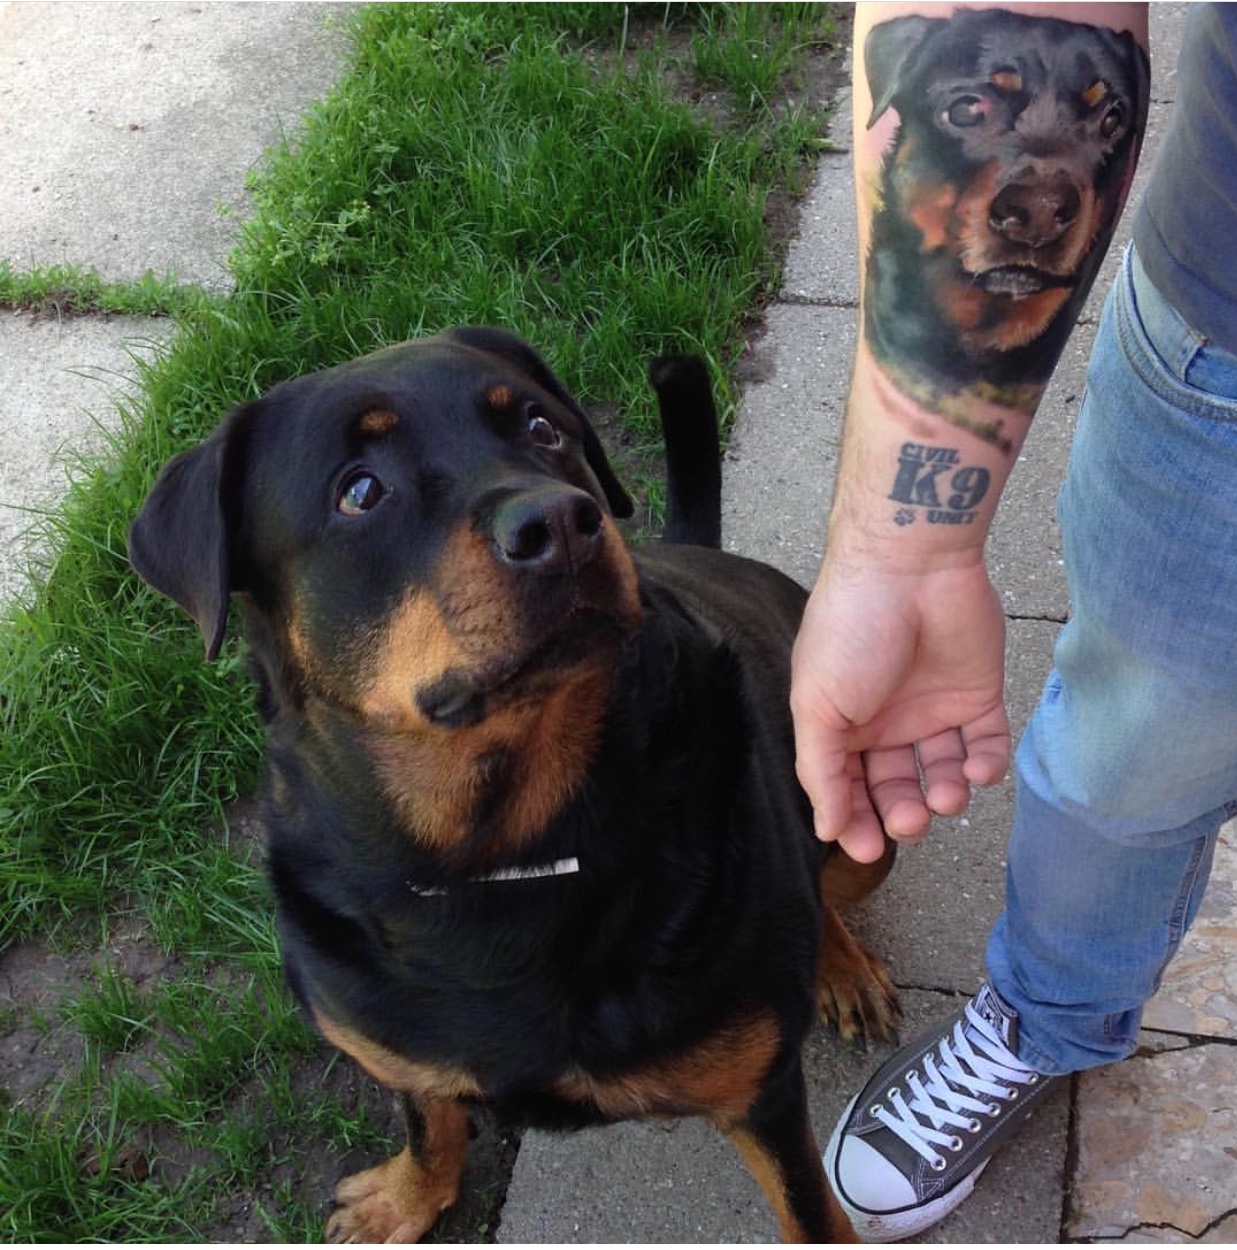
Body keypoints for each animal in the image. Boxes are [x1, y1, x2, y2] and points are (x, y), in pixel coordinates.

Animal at [128, 327, 899, 1245]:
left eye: (540, 426)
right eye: (359, 491)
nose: (562, 522)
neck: (504, 853)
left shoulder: (763, 1094)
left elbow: (807, 1207)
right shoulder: (393, 1043)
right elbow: (430, 1118)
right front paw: (407, 1197)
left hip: (864, 817)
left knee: (829, 880)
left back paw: (840, 965)